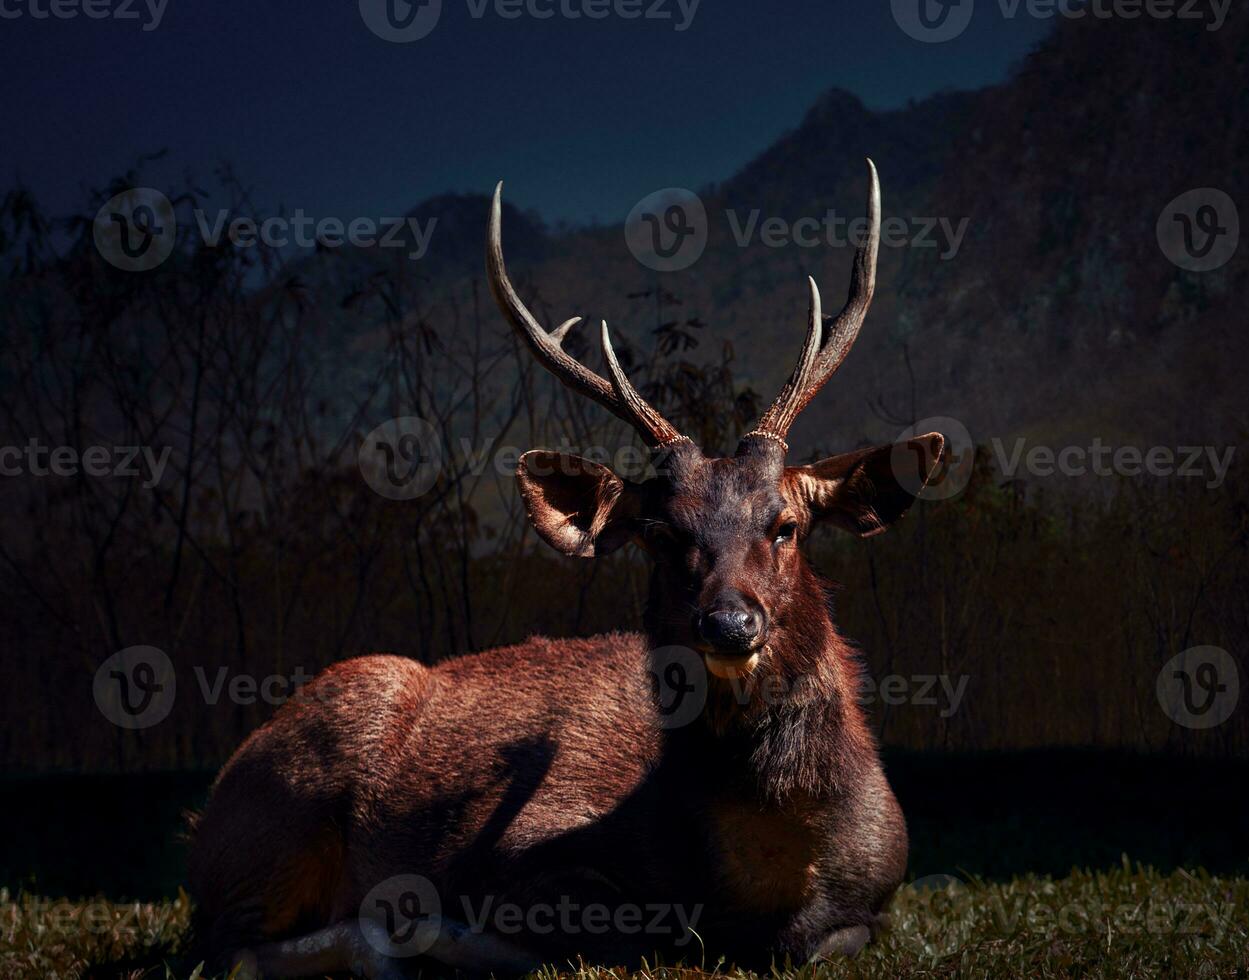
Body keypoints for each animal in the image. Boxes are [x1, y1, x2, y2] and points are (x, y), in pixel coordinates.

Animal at [189, 161, 939, 978]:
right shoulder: (527, 843)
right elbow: (638, 935)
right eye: (659, 533)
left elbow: (836, 935)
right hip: (284, 812)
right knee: (228, 945)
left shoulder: (881, 891)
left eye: (786, 526)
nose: (729, 622)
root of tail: (206, 810)